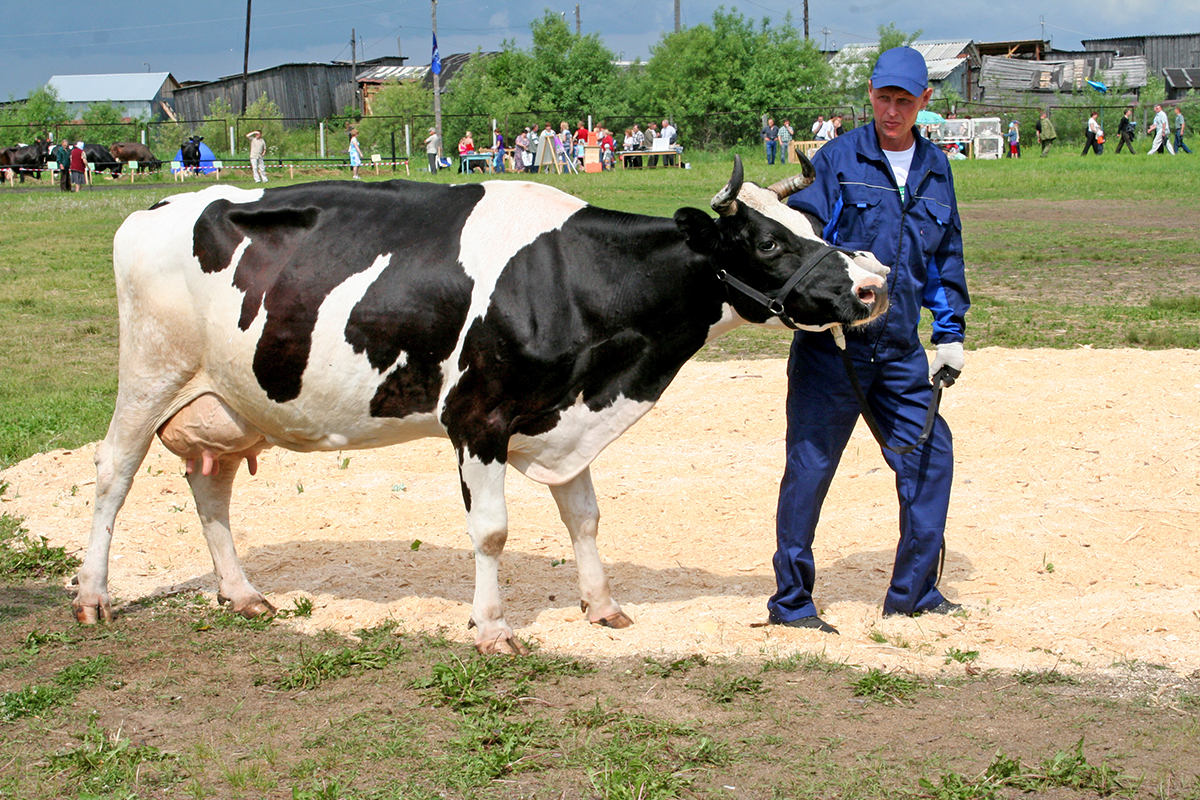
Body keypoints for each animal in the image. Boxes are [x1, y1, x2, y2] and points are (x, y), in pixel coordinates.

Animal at [72, 158, 883, 657]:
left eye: (817, 225)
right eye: (770, 243)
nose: (875, 284)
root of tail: (151, 210)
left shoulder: (565, 419)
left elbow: (585, 517)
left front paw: (602, 606)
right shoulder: (478, 419)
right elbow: (491, 532)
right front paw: (492, 627)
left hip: (227, 400)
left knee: (210, 489)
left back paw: (240, 595)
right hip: (149, 374)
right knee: (113, 474)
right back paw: (92, 597)